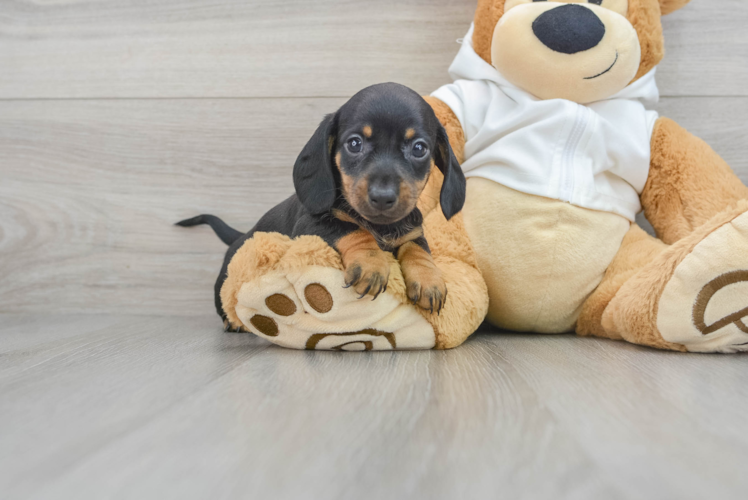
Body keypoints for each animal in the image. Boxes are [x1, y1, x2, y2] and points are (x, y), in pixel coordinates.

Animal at [178, 80, 464, 318]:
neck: (381, 226)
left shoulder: (413, 230)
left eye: (419, 148)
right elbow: (354, 229)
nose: (383, 197)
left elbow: (418, 248)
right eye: (354, 143)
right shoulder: (311, 224)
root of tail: (243, 234)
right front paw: (372, 263)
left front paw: (428, 280)